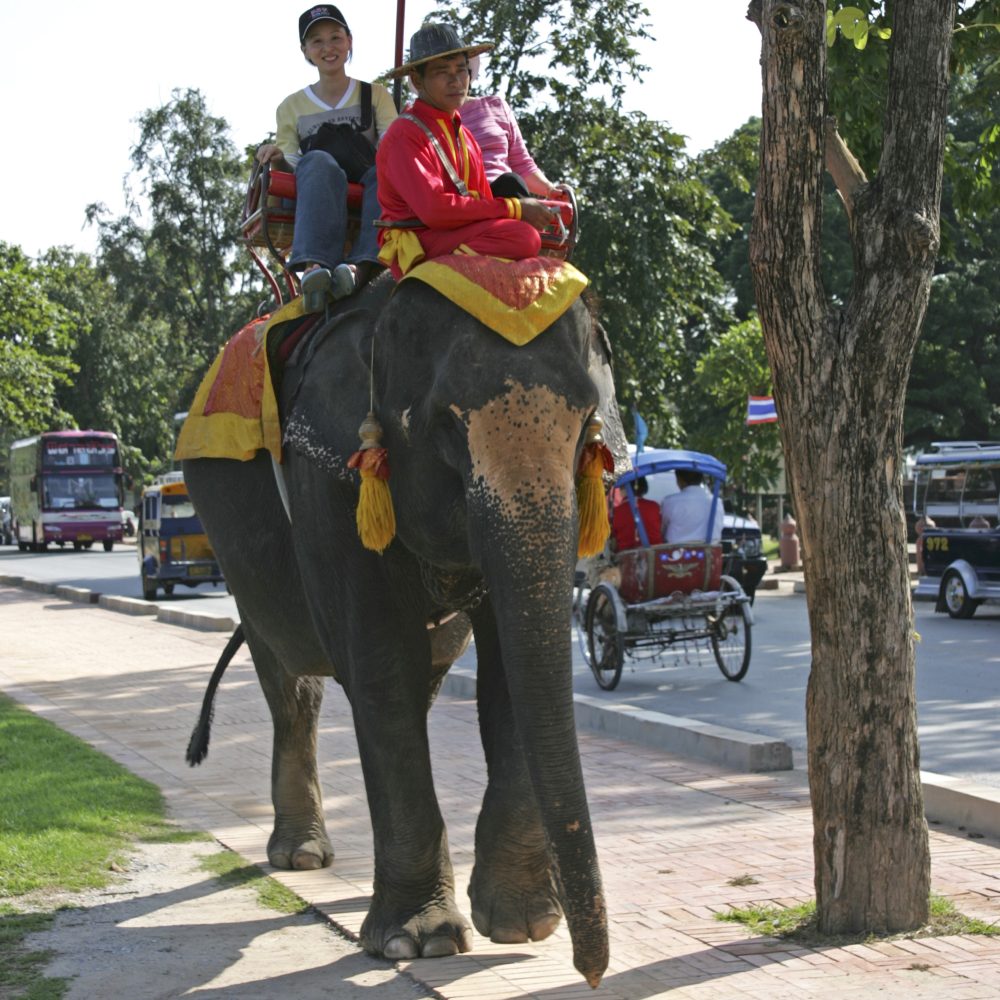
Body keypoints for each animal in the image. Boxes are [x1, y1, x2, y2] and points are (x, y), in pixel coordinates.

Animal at [183, 271, 627, 988]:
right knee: (292, 678)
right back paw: (301, 857)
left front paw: (521, 926)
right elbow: (382, 663)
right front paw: (420, 944)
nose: (589, 976)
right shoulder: (328, 480)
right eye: (442, 428)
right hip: (239, 554)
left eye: (588, 423)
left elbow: (506, 671)